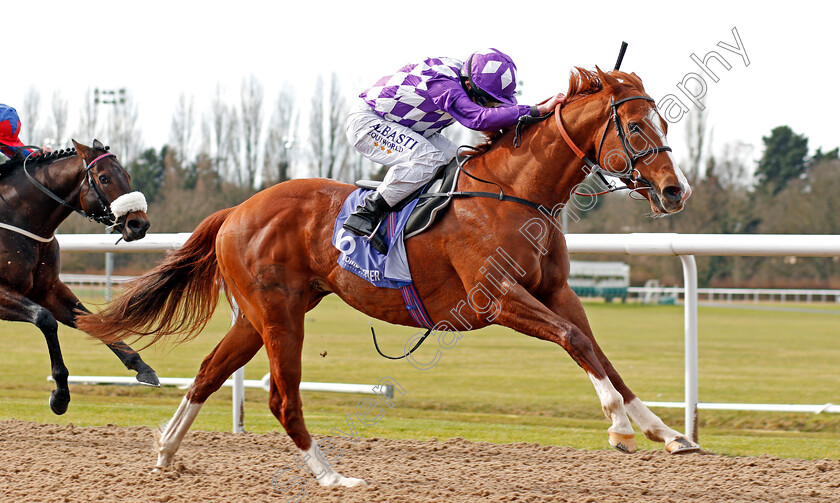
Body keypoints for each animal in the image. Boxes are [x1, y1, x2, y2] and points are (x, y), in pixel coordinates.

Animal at [0, 141, 156, 418]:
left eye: (127, 175)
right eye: (104, 178)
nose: (139, 224)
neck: (15, 218)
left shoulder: (49, 290)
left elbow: (91, 320)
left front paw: (142, 366)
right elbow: (45, 319)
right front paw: (60, 395)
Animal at [77, 69, 696, 486]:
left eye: (664, 120)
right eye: (636, 126)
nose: (675, 191)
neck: (514, 191)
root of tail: (236, 210)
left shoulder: (556, 291)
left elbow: (597, 351)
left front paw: (665, 432)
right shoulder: (496, 298)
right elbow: (574, 341)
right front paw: (618, 426)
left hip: (258, 317)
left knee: (208, 373)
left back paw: (166, 451)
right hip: (278, 314)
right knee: (282, 396)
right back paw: (331, 476)